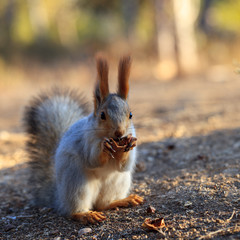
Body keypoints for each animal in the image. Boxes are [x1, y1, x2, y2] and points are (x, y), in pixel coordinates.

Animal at [23, 55, 142, 223]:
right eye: (102, 115)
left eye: (130, 115)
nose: (119, 133)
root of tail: (59, 198)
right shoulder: (85, 141)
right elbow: (93, 160)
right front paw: (104, 146)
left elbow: (124, 165)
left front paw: (129, 141)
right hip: (77, 183)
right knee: (75, 210)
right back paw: (85, 214)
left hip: (119, 182)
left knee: (103, 204)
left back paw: (122, 200)